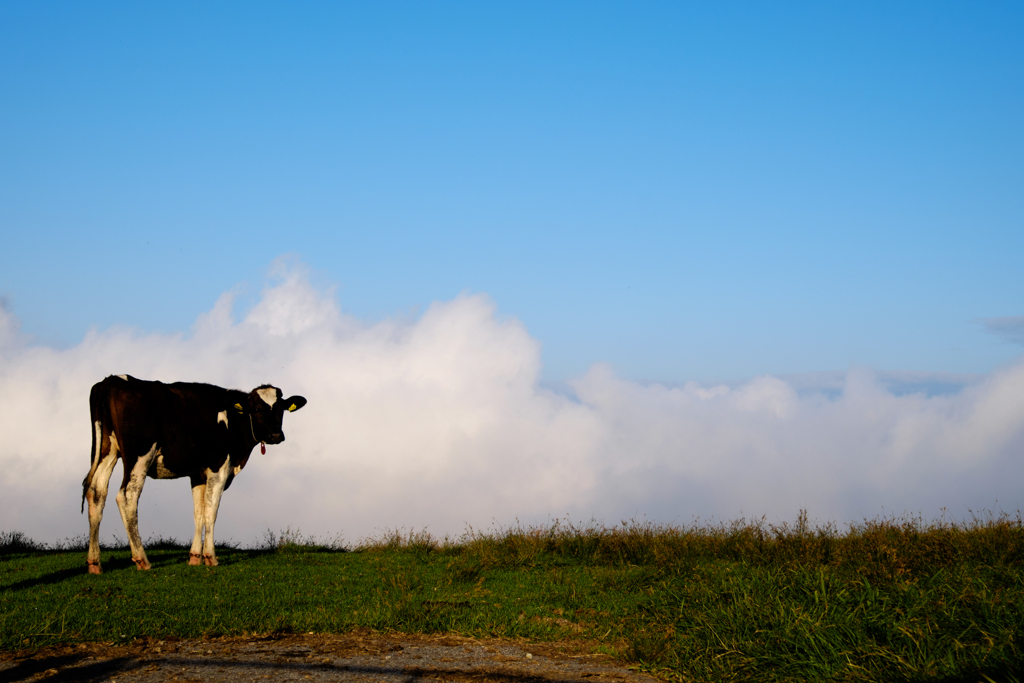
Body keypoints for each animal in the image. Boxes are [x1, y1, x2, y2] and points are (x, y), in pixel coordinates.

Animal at [80, 376, 305, 573]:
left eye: (281, 409)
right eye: (257, 409)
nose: (275, 435)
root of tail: (112, 380)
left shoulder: (198, 474)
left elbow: (199, 512)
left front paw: (195, 557)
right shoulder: (219, 466)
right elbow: (211, 511)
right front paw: (210, 557)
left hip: (108, 451)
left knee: (96, 494)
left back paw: (94, 563)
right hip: (139, 456)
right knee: (127, 497)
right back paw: (142, 559)